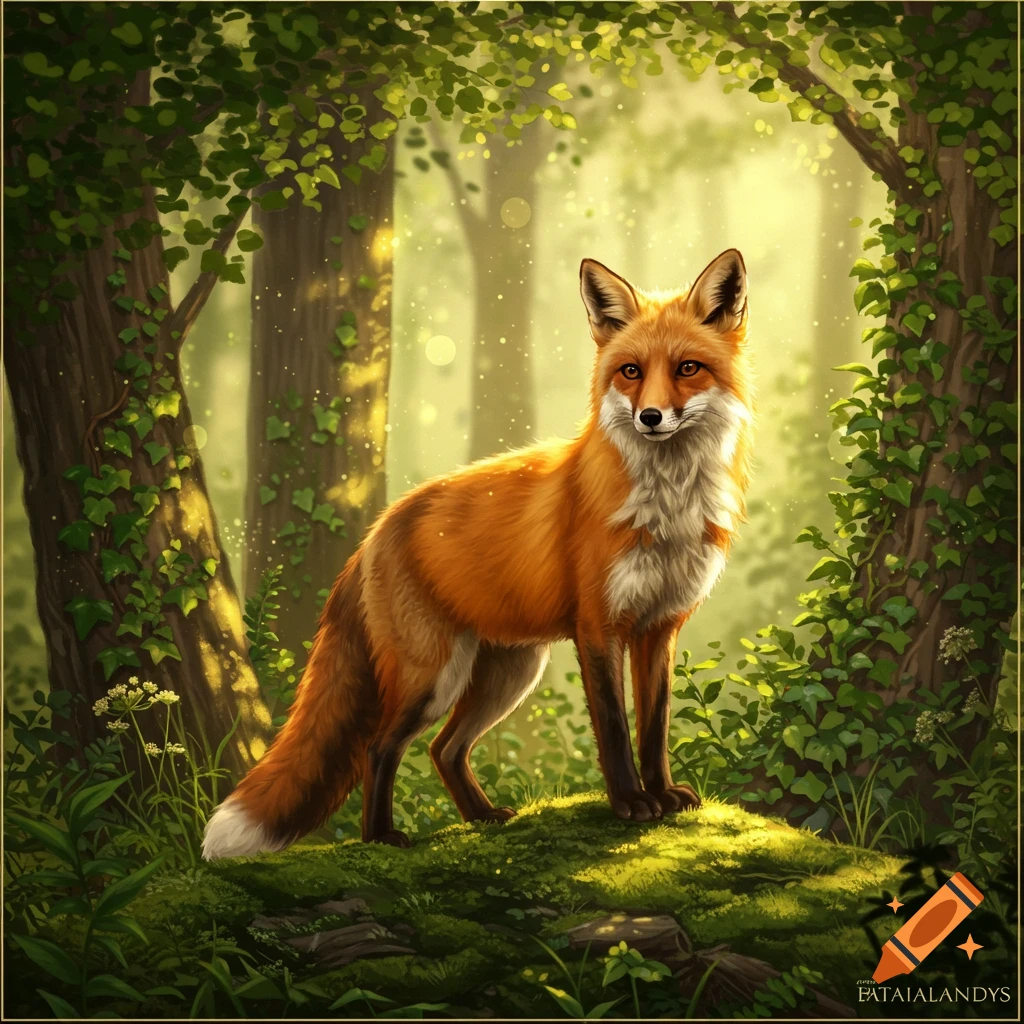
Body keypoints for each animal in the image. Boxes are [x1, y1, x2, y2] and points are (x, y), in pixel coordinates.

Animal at [202, 249, 754, 858]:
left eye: (687, 368)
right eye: (630, 372)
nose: (650, 417)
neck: (666, 507)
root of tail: (375, 531)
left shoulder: (659, 627)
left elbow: (653, 728)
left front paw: (662, 795)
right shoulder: (599, 627)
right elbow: (613, 727)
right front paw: (631, 803)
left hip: (508, 674)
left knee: (443, 749)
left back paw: (482, 816)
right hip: (434, 675)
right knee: (380, 747)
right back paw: (382, 837)